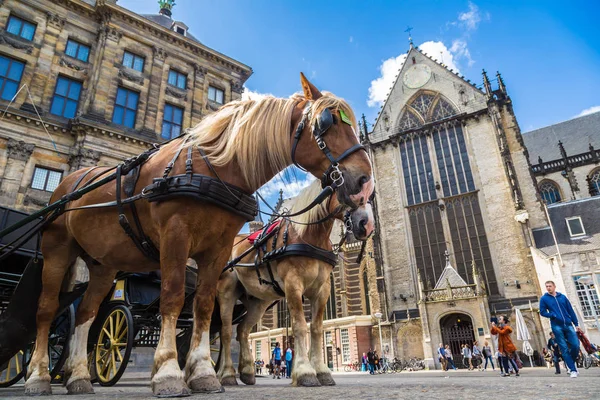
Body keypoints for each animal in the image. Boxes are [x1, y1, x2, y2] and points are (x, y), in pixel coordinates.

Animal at [218, 180, 372, 386]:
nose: (366, 224)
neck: (310, 236)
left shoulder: (322, 289)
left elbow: (316, 328)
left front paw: (322, 371)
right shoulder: (293, 285)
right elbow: (299, 325)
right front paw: (305, 372)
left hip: (259, 301)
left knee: (242, 330)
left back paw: (247, 372)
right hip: (227, 292)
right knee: (226, 331)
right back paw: (226, 374)